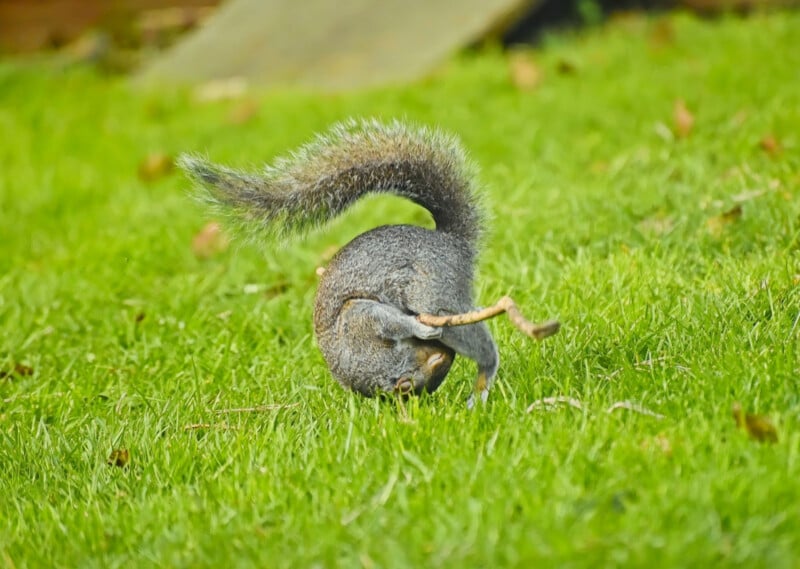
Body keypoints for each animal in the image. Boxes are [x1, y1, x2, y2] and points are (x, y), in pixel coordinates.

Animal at [180, 118, 506, 404]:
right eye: (416, 381)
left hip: (433, 293)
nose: (446, 354)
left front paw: (420, 328)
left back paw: (483, 378)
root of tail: (452, 242)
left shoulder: (359, 319)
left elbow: (391, 321)